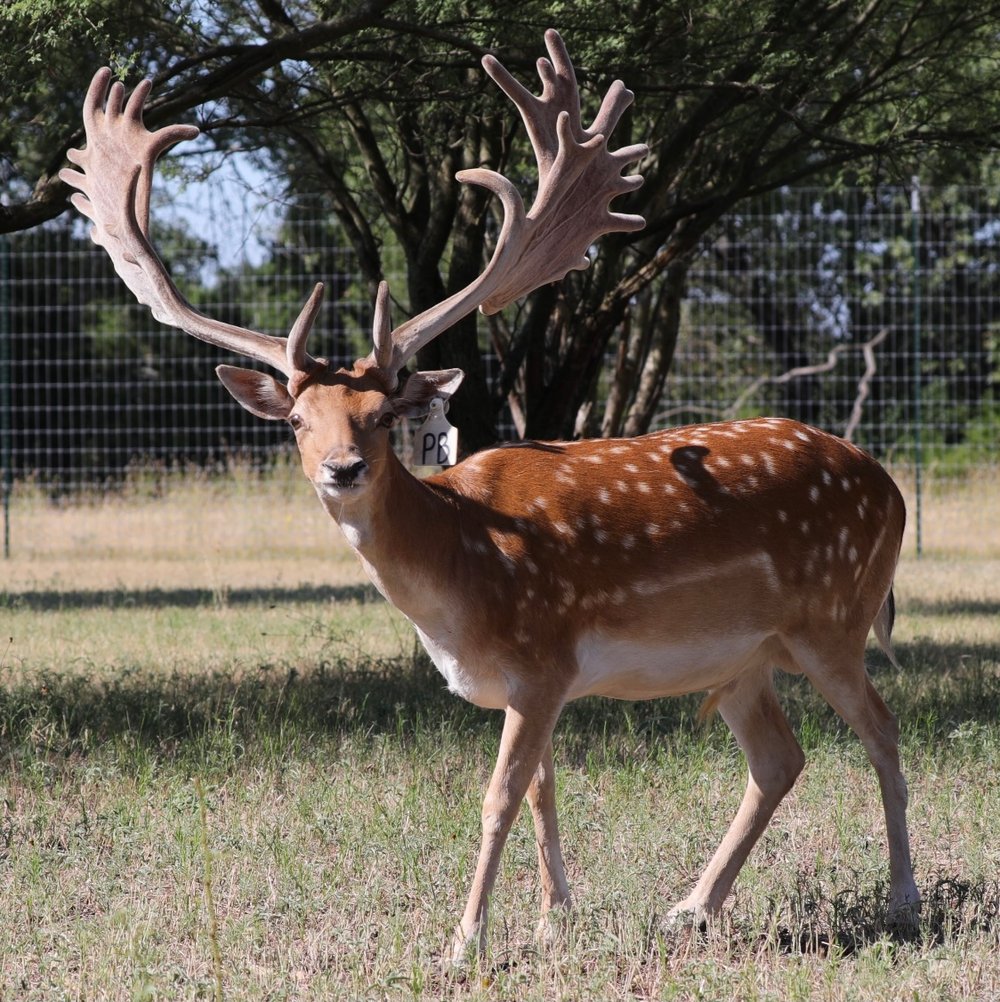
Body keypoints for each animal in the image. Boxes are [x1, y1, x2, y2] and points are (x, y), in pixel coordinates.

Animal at [62, 31, 917, 961]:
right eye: (294, 419)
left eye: (382, 414)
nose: (341, 469)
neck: (459, 570)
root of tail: (890, 486)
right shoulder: (527, 682)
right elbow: (542, 790)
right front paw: (553, 917)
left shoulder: (544, 657)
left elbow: (497, 797)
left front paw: (463, 940)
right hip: (743, 659)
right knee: (779, 759)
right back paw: (692, 907)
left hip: (833, 616)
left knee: (882, 729)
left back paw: (903, 900)